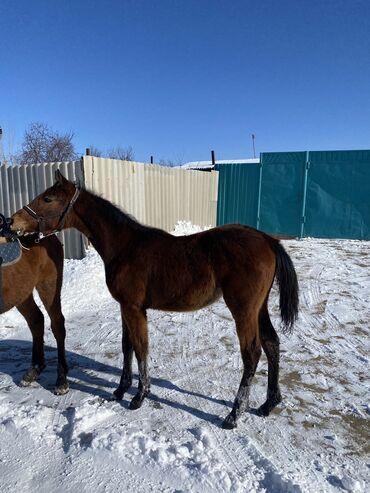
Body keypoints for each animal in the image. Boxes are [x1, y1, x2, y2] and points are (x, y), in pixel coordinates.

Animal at [0, 232, 68, 396]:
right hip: (21, 293)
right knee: (36, 320)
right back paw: (34, 370)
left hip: (48, 285)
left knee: (57, 325)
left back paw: (62, 381)